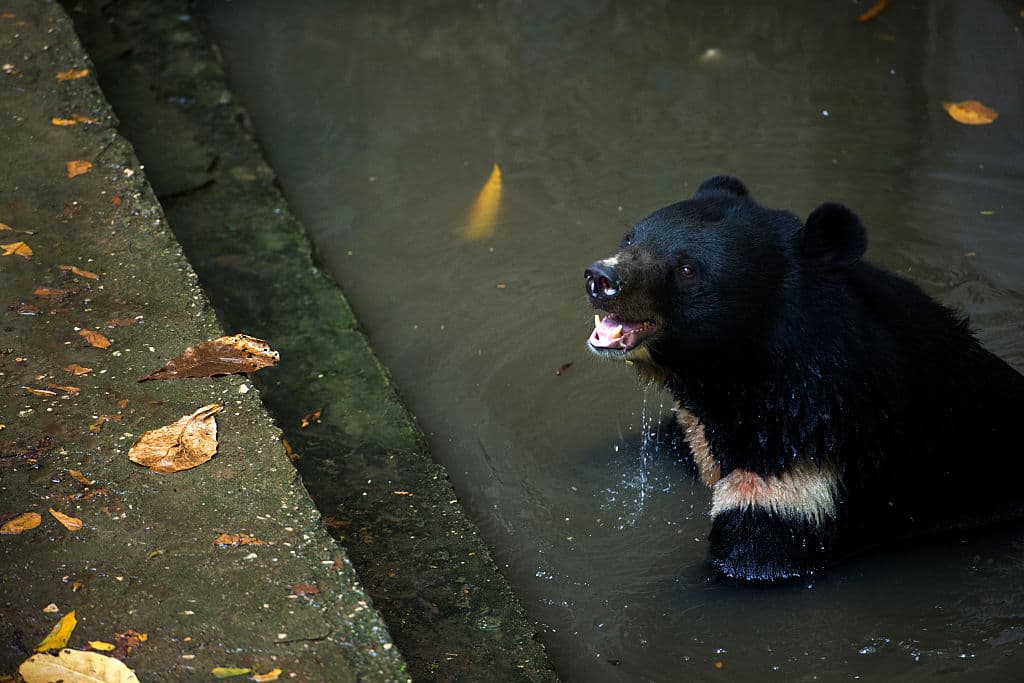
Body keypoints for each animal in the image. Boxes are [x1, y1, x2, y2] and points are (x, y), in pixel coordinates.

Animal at [584, 175, 1024, 582]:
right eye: (630, 239)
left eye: (687, 269)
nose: (600, 279)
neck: (738, 373)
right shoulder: (702, 427)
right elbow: (670, 440)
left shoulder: (809, 470)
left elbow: (756, 555)